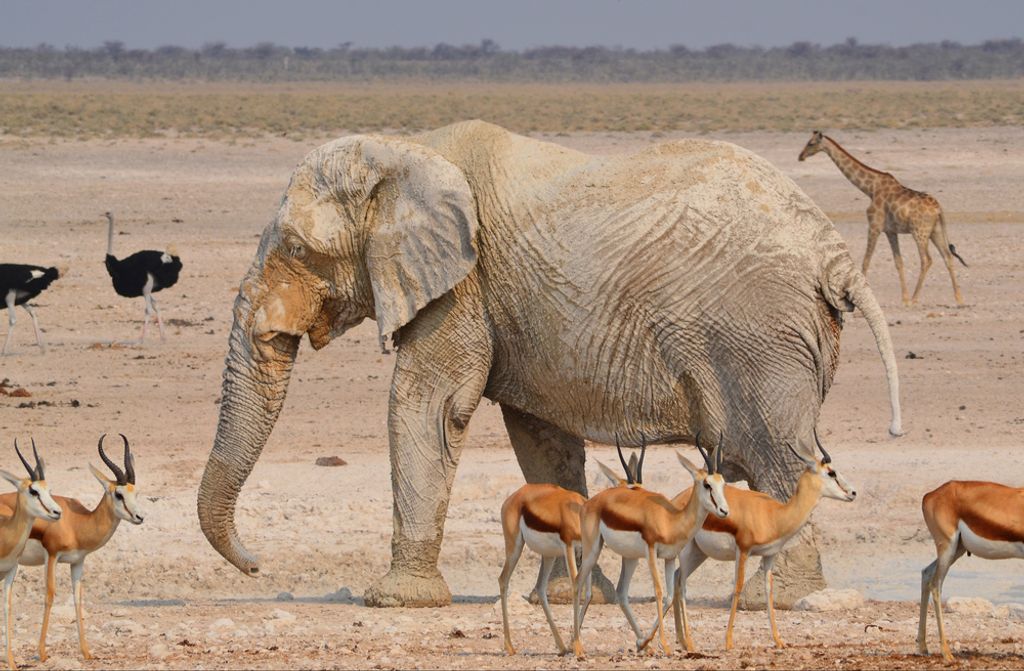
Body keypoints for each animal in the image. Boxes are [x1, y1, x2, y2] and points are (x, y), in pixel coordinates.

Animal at [197, 120, 902, 608]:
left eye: (297, 249)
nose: (257, 565)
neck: (405, 149)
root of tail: (834, 254)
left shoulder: (464, 284)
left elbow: (429, 406)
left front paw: (395, 601)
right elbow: (539, 437)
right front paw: (567, 597)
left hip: (759, 336)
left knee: (777, 455)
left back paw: (776, 599)